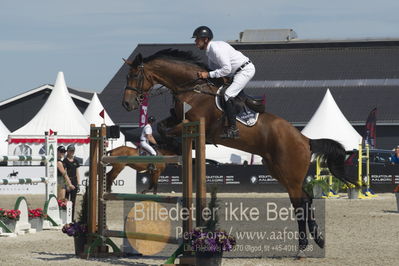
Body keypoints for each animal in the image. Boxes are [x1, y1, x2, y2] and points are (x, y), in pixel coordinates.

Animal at [120, 48, 358, 255]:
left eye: (135, 75)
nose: (127, 104)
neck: (192, 89)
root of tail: (305, 139)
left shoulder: (195, 124)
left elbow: (167, 131)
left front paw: (173, 146)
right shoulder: (177, 120)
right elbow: (162, 126)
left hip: (290, 173)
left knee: (300, 202)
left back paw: (303, 245)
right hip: (277, 170)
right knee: (306, 200)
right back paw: (317, 240)